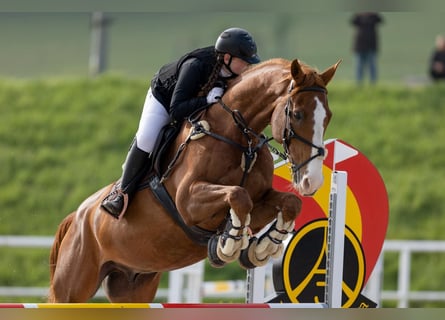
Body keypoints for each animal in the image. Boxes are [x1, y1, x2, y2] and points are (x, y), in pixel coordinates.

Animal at [48, 58, 338, 302]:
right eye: (297, 114)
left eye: (328, 117)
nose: (312, 181)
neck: (237, 137)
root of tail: (76, 217)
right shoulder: (189, 202)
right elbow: (237, 195)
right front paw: (229, 244)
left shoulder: (261, 200)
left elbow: (289, 203)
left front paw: (262, 247)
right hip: (71, 289)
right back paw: (115, 201)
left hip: (133, 285)